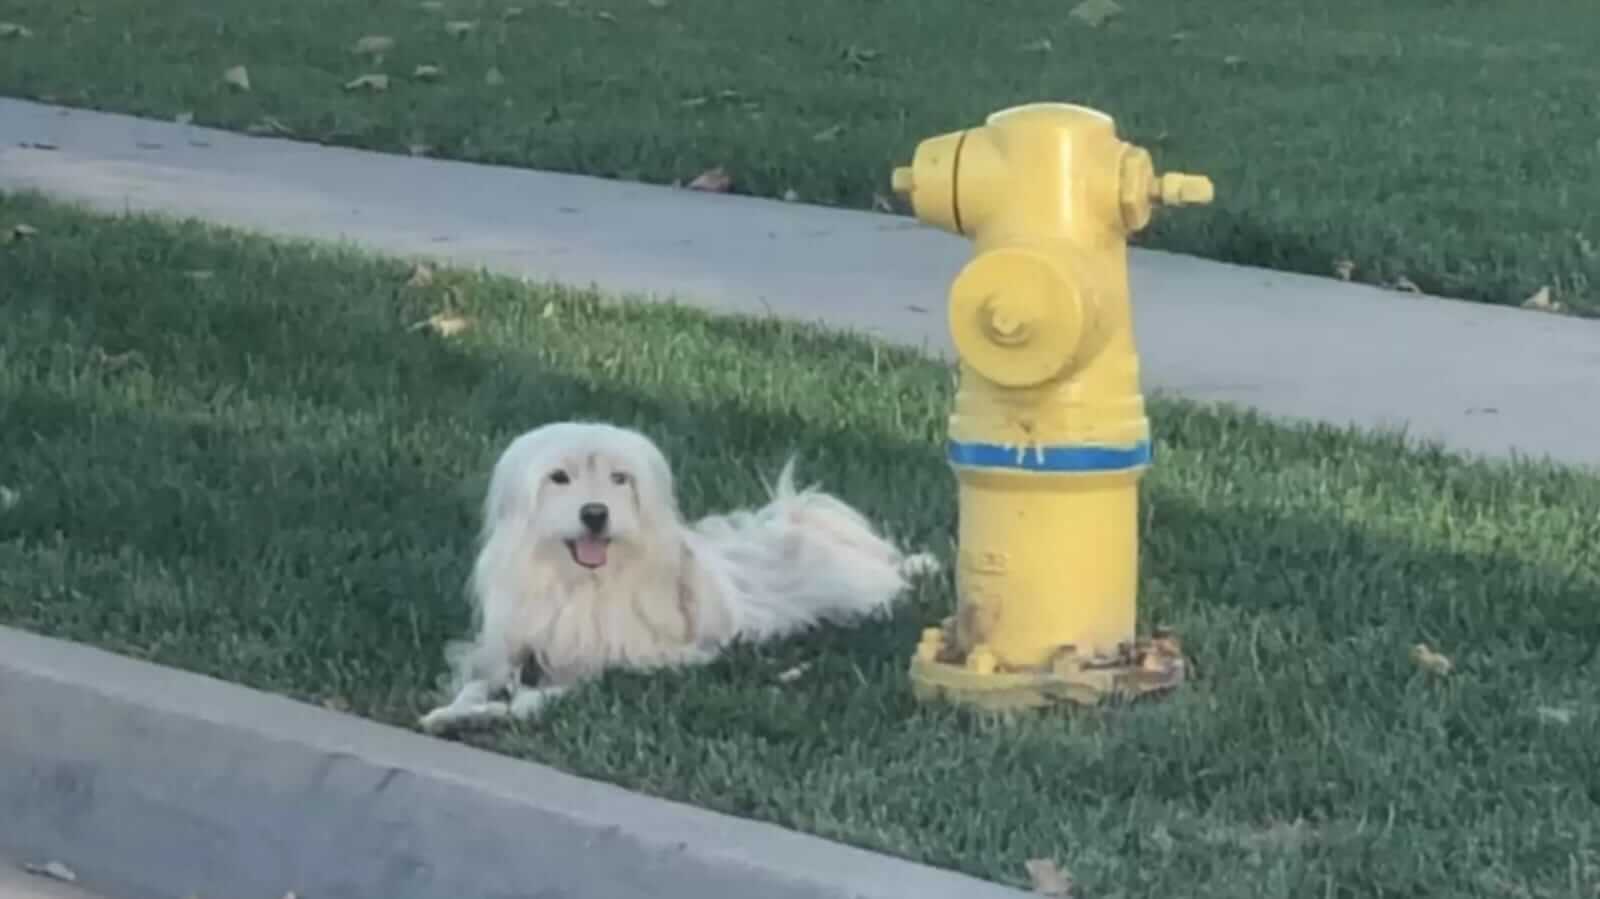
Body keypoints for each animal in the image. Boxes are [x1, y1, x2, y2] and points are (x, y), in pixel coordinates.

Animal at [422, 422, 934, 732]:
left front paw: (510, 708)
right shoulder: (506, 651)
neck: (581, 583)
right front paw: (452, 712)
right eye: (559, 477)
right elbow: (479, 682)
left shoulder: (628, 660)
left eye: (620, 478)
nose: (595, 514)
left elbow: (548, 694)